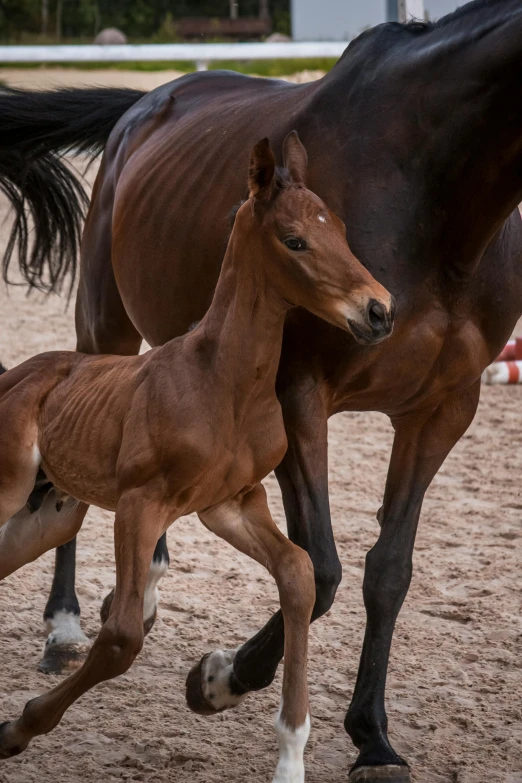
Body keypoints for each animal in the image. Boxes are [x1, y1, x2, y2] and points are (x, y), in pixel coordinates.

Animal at [0, 135, 390, 776]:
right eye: (295, 240)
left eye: (339, 231)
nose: (380, 310)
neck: (223, 381)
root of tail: (17, 374)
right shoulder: (141, 504)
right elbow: (121, 637)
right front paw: (15, 729)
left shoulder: (232, 505)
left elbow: (299, 573)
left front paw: (289, 759)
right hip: (9, 489)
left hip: (48, 517)